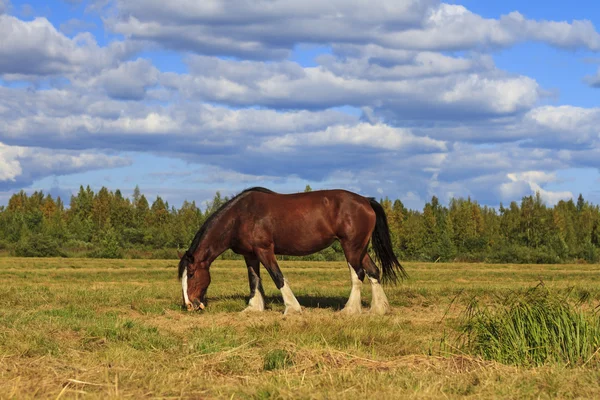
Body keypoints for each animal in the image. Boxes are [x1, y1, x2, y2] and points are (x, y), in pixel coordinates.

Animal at [176, 188, 406, 316]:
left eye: (192, 274)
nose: (190, 305)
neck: (240, 216)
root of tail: (366, 201)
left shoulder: (265, 250)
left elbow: (277, 277)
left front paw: (292, 308)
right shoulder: (250, 255)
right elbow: (254, 280)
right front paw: (253, 307)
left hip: (351, 247)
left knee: (358, 274)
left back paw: (350, 310)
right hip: (360, 248)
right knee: (373, 271)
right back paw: (379, 309)